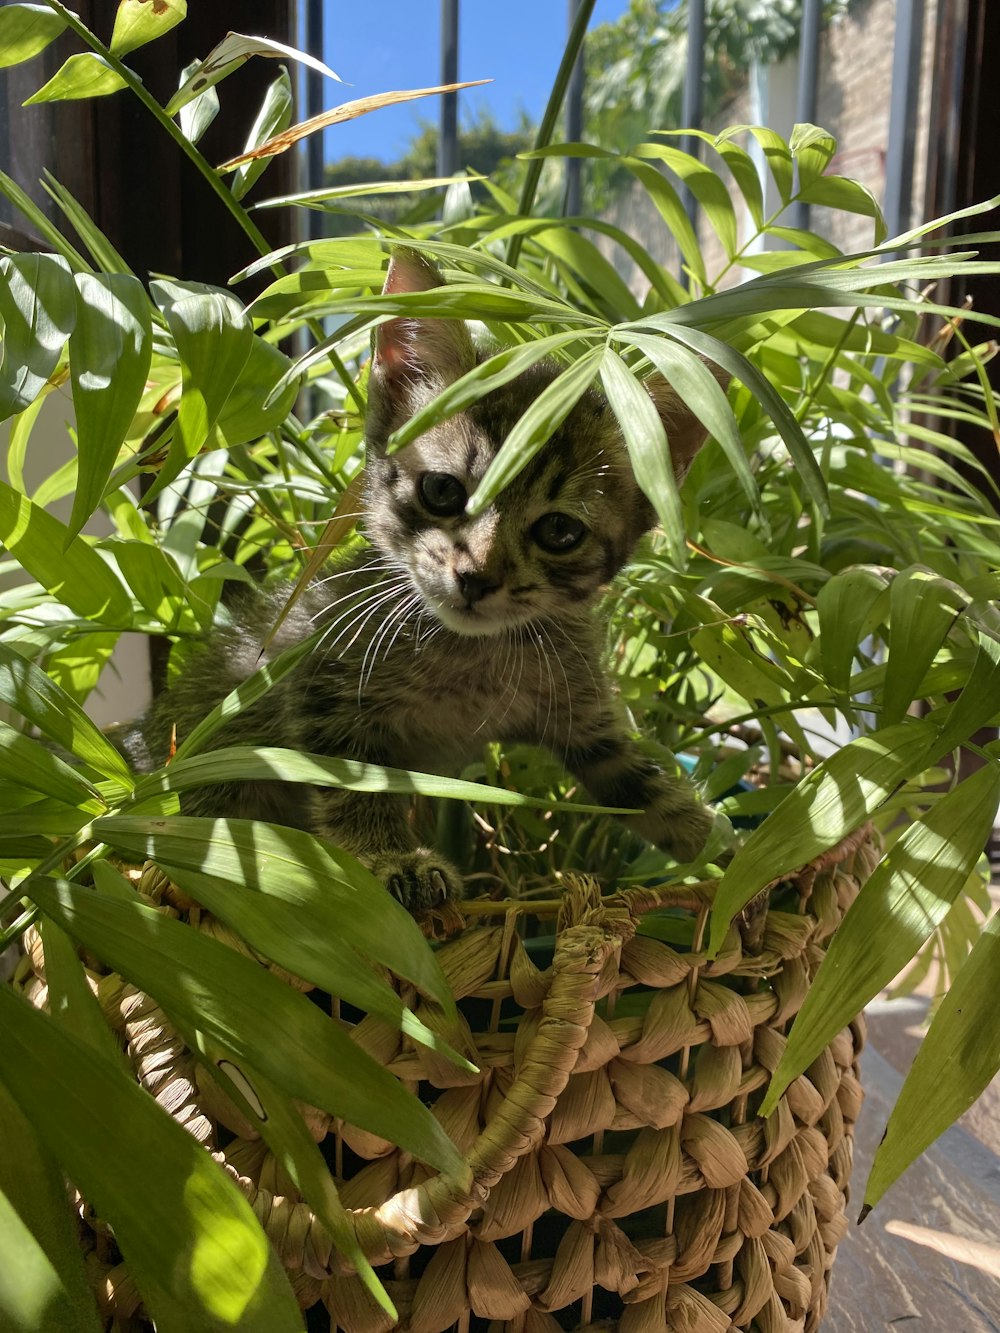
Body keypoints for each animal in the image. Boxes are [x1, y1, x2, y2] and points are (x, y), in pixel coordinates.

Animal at [129, 250, 725, 911]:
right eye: (442, 490)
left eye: (559, 531)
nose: (476, 576)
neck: (469, 658)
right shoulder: (320, 683)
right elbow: (356, 783)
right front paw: (394, 860)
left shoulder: (585, 719)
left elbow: (638, 783)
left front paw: (734, 852)